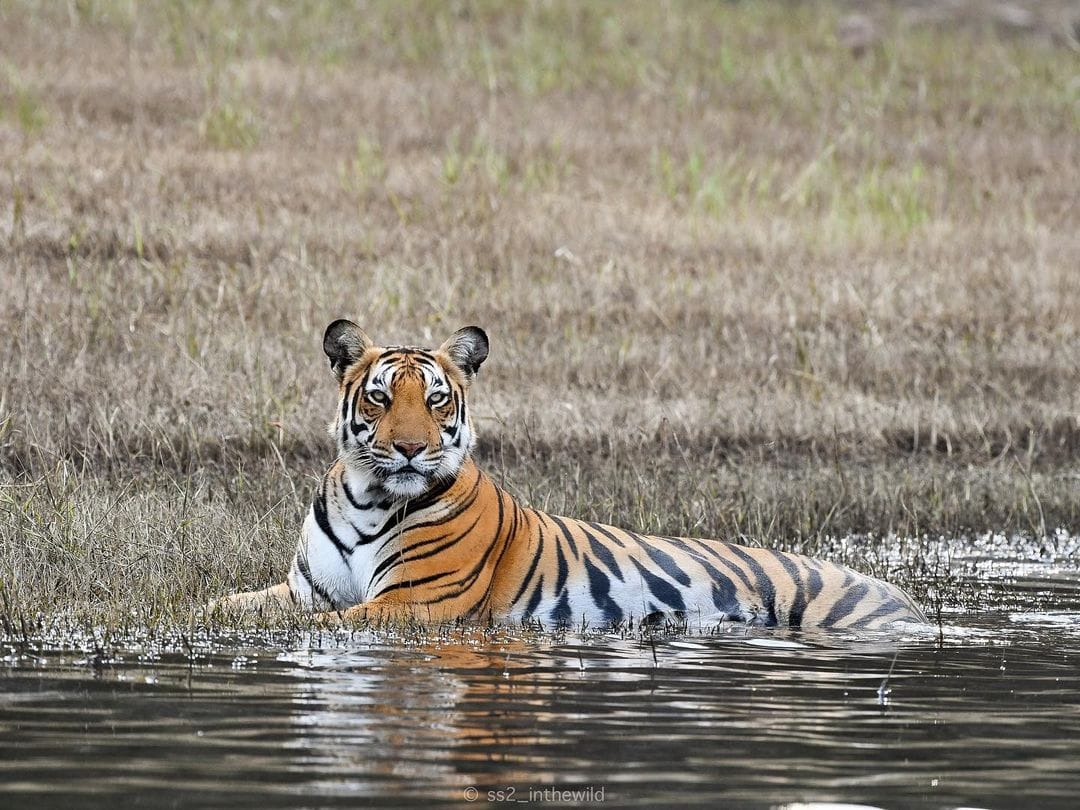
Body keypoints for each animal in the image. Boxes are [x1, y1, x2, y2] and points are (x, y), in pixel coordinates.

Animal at [217, 319, 928, 630]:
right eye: (380, 397)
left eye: (437, 400)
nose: (413, 450)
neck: (368, 499)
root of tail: (906, 598)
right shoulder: (306, 590)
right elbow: (226, 607)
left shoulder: (414, 603)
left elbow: (321, 626)